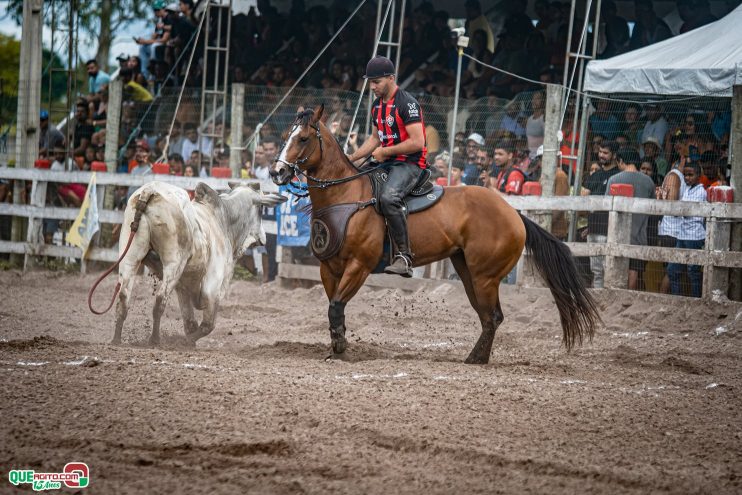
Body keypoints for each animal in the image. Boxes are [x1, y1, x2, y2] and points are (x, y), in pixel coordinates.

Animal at [270, 105, 600, 364]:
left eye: (302, 138)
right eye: (286, 136)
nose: (276, 172)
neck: (346, 196)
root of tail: (513, 213)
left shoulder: (359, 266)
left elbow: (336, 306)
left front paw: (340, 347)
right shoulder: (329, 268)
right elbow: (333, 309)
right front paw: (337, 347)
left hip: (485, 276)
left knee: (493, 317)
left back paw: (475, 359)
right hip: (468, 273)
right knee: (487, 317)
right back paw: (476, 357)